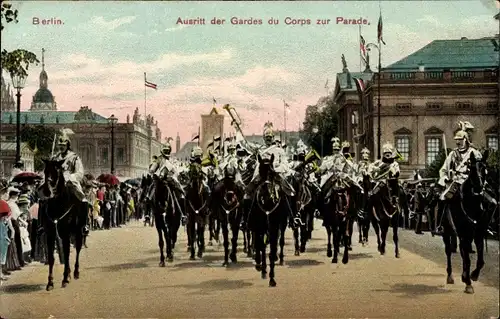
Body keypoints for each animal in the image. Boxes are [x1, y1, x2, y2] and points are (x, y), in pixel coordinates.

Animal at [38, 159, 87, 292]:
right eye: (45, 171)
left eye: (57, 171)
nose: (47, 191)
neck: (57, 205)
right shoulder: (50, 235)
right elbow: (51, 258)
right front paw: (50, 282)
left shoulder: (65, 234)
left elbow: (67, 254)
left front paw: (65, 279)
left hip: (78, 232)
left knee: (78, 249)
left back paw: (75, 272)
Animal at [440, 151, 490, 296]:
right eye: (471, 168)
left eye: (484, 168)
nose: (479, 188)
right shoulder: (464, 234)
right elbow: (467, 259)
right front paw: (468, 282)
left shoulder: (478, 234)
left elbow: (480, 260)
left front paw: (473, 275)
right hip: (447, 233)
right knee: (449, 252)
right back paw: (450, 276)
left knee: (463, 252)